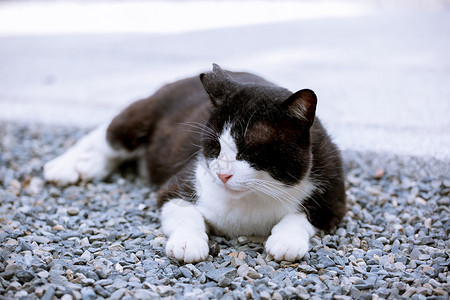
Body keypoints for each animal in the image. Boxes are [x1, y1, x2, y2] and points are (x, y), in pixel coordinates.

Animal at [44, 63, 346, 262]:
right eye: (214, 146)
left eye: (250, 151)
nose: (223, 174)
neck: (253, 198)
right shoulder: (177, 186)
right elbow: (185, 212)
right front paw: (188, 242)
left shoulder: (333, 193)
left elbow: (303, 215)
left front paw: (286, 240)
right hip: (145, 112)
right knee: (108, 134)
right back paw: (64, 166)